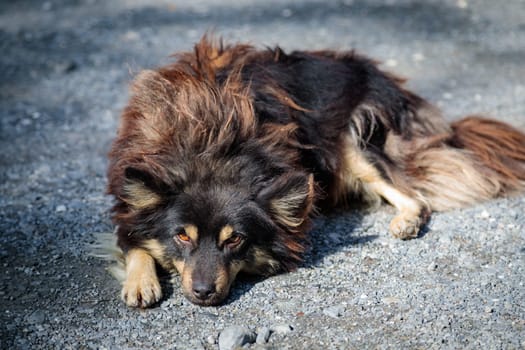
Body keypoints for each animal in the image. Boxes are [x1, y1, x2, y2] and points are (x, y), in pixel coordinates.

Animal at [106, 35, 524, 308]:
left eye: (235, 239)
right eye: (181, 236)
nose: (204, 293)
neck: (210, 148)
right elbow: (132, 238)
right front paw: (140, 281)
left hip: (352, 145)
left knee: (415, 196)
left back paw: (406, 220)